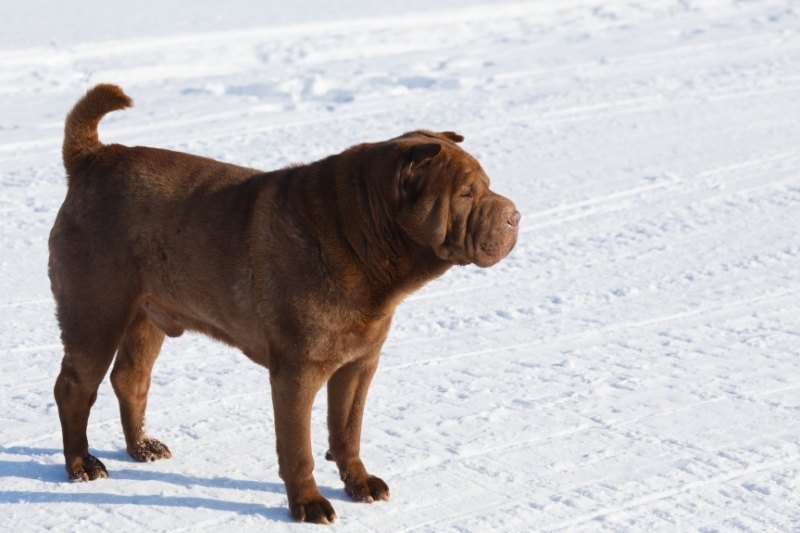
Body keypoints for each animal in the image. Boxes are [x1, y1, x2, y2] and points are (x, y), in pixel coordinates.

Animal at [50, 84, 520, 524]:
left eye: (487, 186)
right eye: (465, 194)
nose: (514, 214)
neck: (360, 237)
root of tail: (94, 158)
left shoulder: (359, 363)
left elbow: (347, 430)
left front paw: (360, 484)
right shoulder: (298, 371)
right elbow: (299, 448)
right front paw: (309, 505)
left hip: (147, 317)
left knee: (131, 379)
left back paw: (143, 448)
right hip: (96, 315)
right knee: (75, 388)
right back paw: (82, 466)